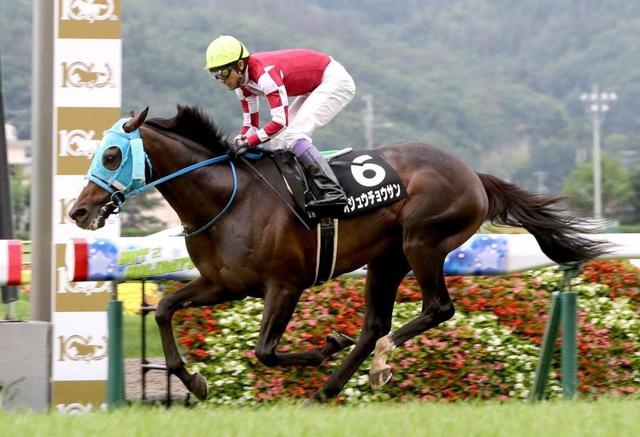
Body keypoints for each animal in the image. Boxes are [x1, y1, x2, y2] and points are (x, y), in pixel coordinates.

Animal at [69, 105, 607, 402]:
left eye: (111, 155)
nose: (79, 211)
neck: (228, 197)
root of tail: (473, 174)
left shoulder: (284, 284)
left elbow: (265, 351)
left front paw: (325, 345)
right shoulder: (223, 283)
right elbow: (163, 309)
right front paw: (195, 382)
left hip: (422, 242)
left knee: (434, 309)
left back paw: (378, 363)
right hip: (386, 259)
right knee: (374, 326)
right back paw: (326, 390)